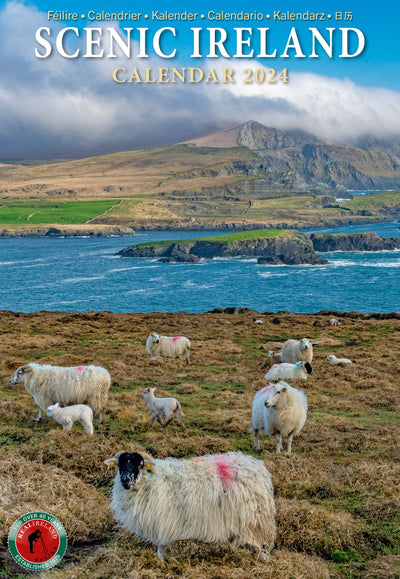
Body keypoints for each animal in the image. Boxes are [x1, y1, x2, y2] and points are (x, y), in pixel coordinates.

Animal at [104, 448, 276, 560]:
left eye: (139, 465)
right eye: (119, 465)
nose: (125, 480)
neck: (150, 481)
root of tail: (258, 468)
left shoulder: (161, 521)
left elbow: (160, 547)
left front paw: (162, 562)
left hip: (255, 520)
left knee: (262, 545)